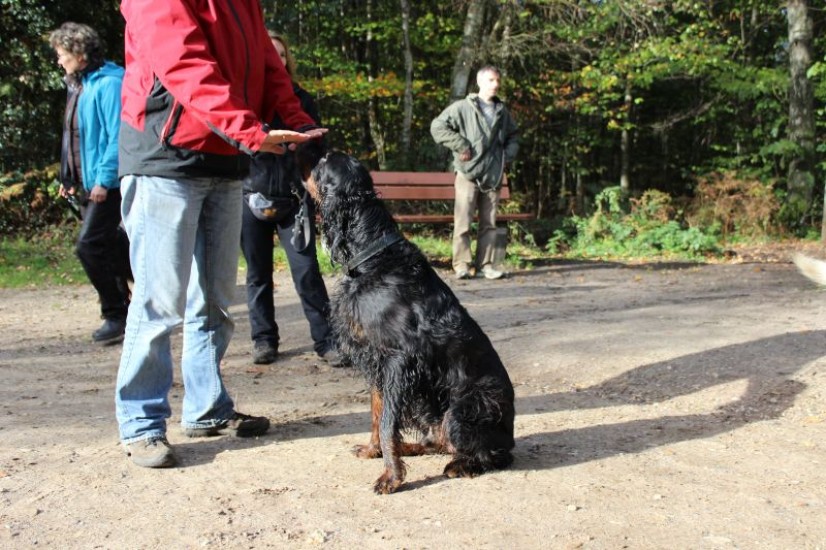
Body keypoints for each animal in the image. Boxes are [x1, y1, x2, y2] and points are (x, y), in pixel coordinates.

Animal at [301, 150, 515, 494]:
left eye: (322, 163)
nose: (301, 154)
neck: (373, 257)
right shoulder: (376, 360)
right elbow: (377, 412)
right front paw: (374, 451)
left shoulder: (399, 361)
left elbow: (388, 419)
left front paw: (391, 477)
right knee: (440, 441)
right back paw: (412, 447)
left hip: (461, 409)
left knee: (494, 454)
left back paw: (462, 465)